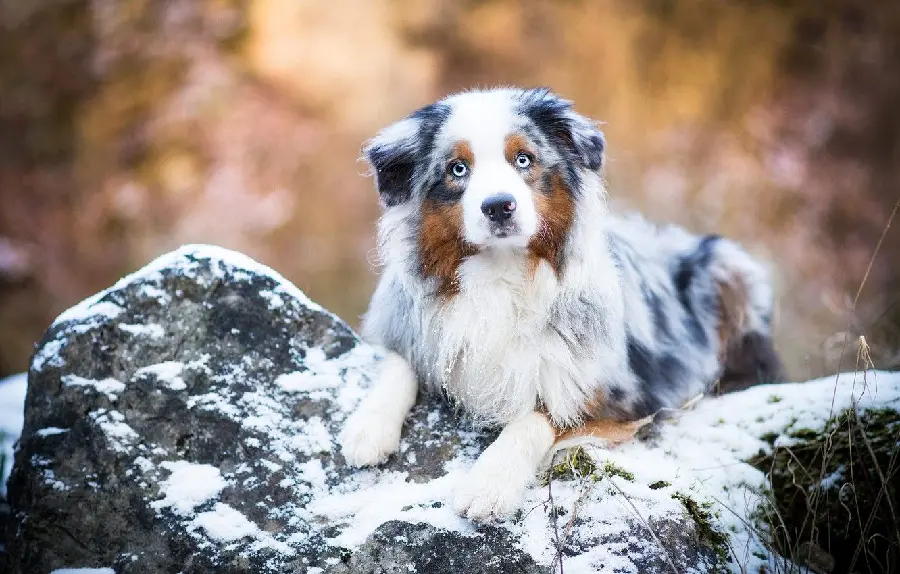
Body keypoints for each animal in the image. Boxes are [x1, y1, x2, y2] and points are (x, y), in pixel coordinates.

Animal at [338, 85, 780, 520]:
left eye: (523, 159)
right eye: (457, 169)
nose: (499, 206)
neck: (501, 274)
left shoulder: (623, 392)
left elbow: (540, 414)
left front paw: (488, 484)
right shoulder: (413, 321)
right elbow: (401, 361)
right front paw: (367, 428)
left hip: (730, 266)